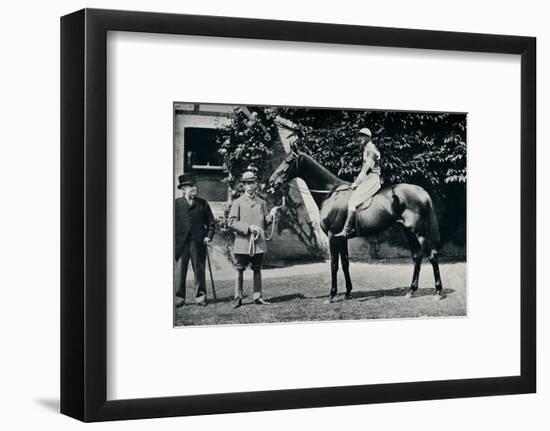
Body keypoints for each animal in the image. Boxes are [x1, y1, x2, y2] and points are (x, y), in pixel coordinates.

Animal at [270, 147, 446, 302]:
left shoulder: (333, 237)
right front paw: (348, 293)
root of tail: (421, 191)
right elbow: (345, 263)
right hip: (408, 232)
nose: (272, 181)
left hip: (419, 233)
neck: (331, 194)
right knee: (417, 257)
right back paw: (411, 291)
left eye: (288, 161)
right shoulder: (342, 238)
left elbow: (334, 265)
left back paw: (438, 292)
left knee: (432, 255)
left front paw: (332, 295)